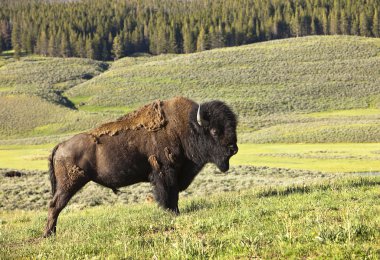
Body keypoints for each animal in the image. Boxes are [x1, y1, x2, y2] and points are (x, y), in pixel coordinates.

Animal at [42, 96, 238, 237]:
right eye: (214, 131)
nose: (233, 149)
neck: (186, 128)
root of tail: (60, 145)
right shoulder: (165, 173)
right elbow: (169, 196)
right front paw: (173, 214)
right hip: (69, 184)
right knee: (55, 205)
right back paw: (48, 234)